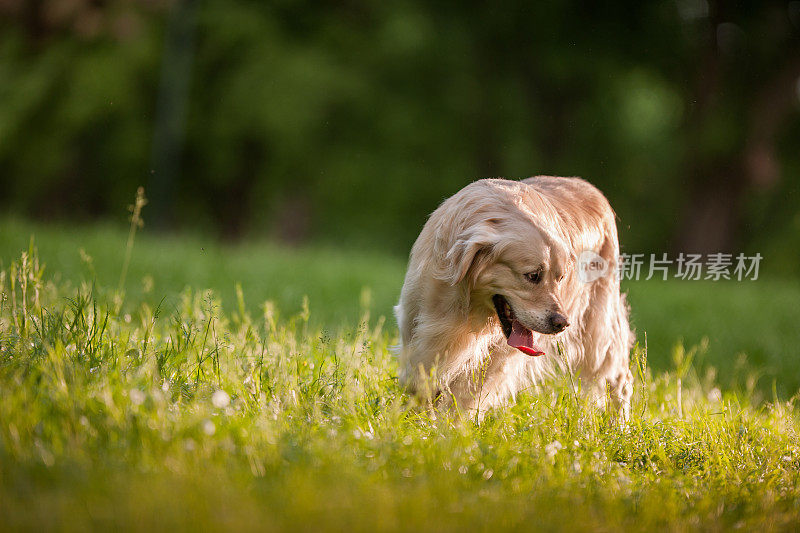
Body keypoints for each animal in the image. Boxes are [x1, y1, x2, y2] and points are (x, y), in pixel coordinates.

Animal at [394, 177, 632, 418]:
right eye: (533, 275)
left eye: (561, 277)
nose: (562, 323)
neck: (468, 307)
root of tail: (593, 190)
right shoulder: (417, 322)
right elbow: (420, 379)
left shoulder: (499, 353)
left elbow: (466, 393)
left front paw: (450, 422)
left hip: (597, 330)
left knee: (619, 378)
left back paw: (619, 422)